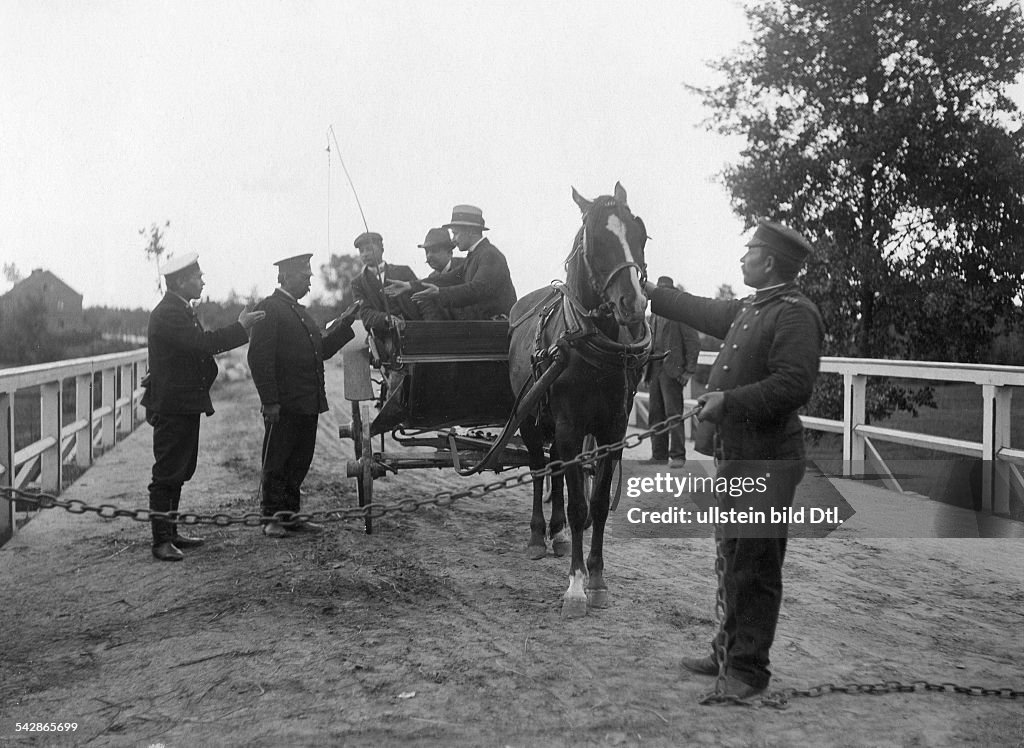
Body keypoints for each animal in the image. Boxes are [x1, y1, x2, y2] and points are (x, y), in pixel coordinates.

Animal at [507, 182, 651, 618]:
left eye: (641, 235)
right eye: (597, 240)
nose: (634, 304)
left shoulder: (611, 431)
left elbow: (598, 505)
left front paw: (597, 579)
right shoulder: (571, 427)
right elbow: (577, 508)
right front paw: (574, 587)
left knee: (555, 469)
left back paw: (556, 535)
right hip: (530, 419)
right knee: (540, 469)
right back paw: (539, 535)